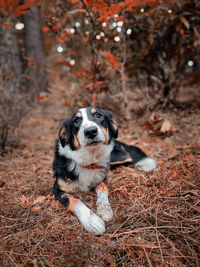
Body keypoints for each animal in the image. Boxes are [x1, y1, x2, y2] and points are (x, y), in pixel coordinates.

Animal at [52, 108, 156, 236]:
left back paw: (145, 163)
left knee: (129, 152)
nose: (90, 131)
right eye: (76, 121)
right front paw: (92, 220)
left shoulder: (101, 177)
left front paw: (105, 210)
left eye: (98, 115)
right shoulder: (58, 190)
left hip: (113, 154)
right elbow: (75, 201)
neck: (89, 161)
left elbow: (102, 189)